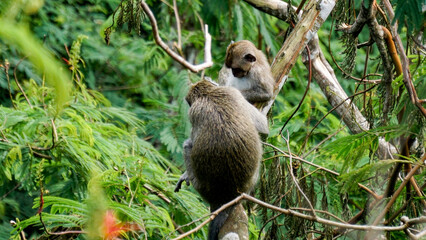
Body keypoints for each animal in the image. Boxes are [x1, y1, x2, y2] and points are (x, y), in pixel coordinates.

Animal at [173, 79, 262, 239]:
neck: (208, 95)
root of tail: (229, 193)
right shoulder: (233, 93)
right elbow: (264, 126)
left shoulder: (193, 112)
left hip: (201, 185)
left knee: (187, 145)